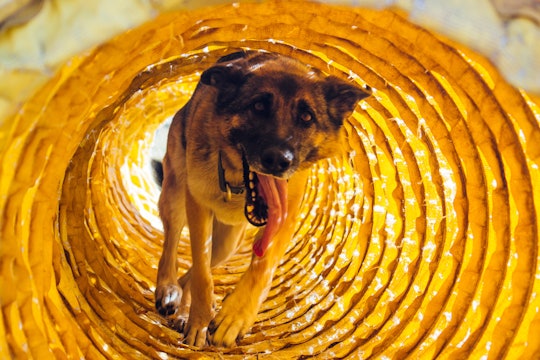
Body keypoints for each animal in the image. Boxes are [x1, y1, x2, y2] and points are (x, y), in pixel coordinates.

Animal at [154, 50, 370, 346]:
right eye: (258, 107)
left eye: (306, 117)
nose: (278, 160)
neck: (236, 182)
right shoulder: (197, 207)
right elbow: (203, 276)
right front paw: (199, 321)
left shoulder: (285, 219)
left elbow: (262, 266)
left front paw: (234, 316)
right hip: (175, 195)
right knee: (173, 243)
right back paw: (168, 288)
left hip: (227, 245)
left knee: (196, 270)